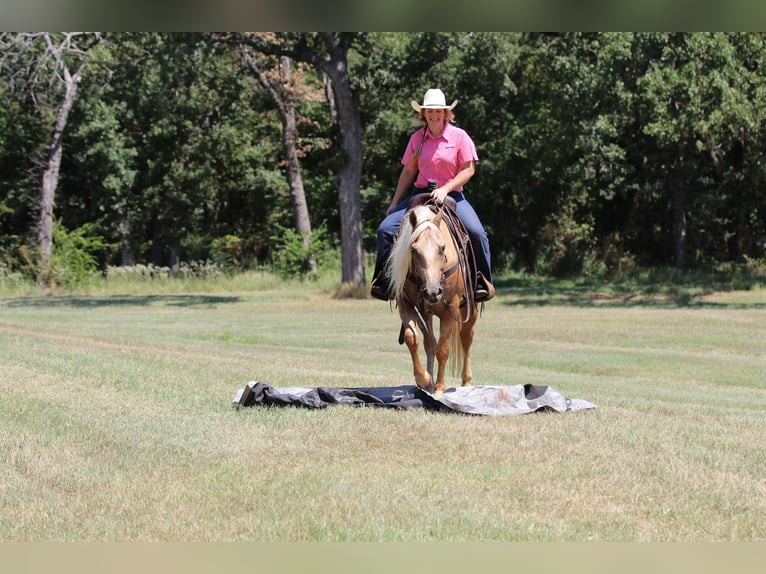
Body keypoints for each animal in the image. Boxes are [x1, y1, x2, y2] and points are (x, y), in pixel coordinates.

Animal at [385, 196, 478, 397]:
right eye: (413, 250)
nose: (433, 292)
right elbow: (412, 339)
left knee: (466, 336)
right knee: (430, 343)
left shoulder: (451, 307)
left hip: (470, 306)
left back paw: (466, 381)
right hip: (425, 313)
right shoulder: (407, 305)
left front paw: (439, 388)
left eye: (442, 248)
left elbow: (443, 349)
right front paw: (425, 380)